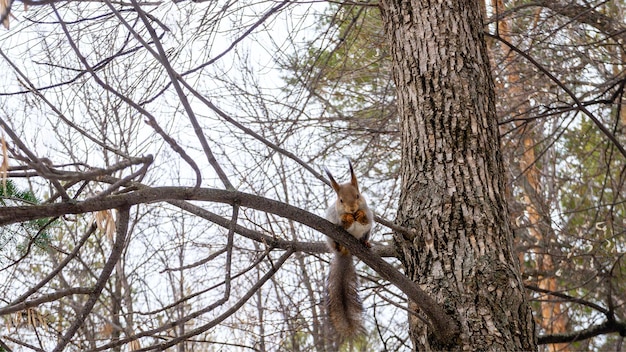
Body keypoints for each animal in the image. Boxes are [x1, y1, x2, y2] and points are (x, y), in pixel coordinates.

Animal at [322, 162, 370, 340]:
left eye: (358, 195)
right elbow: (343, 222)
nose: (352, 208)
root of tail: (345, 252)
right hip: (331, 238)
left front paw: (360, 214)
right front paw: (348, 218)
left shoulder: (370, 215)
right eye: (341, 200)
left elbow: (365, 219)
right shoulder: (336, 217)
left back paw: (366, 243)